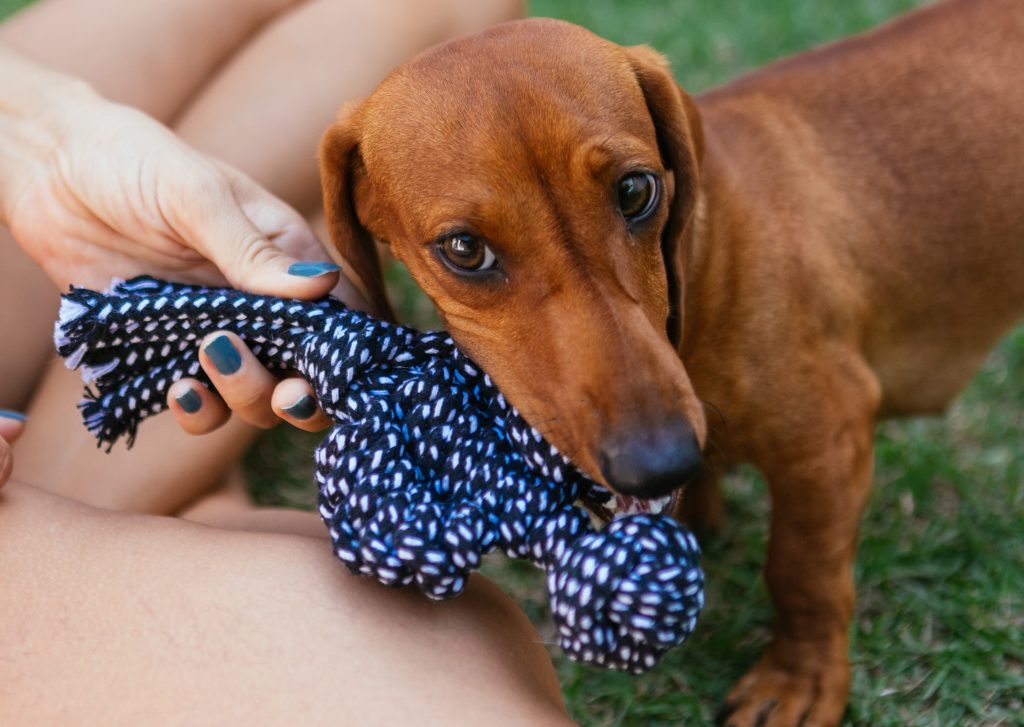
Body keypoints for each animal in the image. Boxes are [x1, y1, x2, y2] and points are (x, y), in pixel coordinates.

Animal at [317, 2, 1024, 724]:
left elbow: (803, 569)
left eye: (635, 190)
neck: (705, 267)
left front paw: (802, 679)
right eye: (463, 249)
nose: (661, 461)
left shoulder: (830, 437)